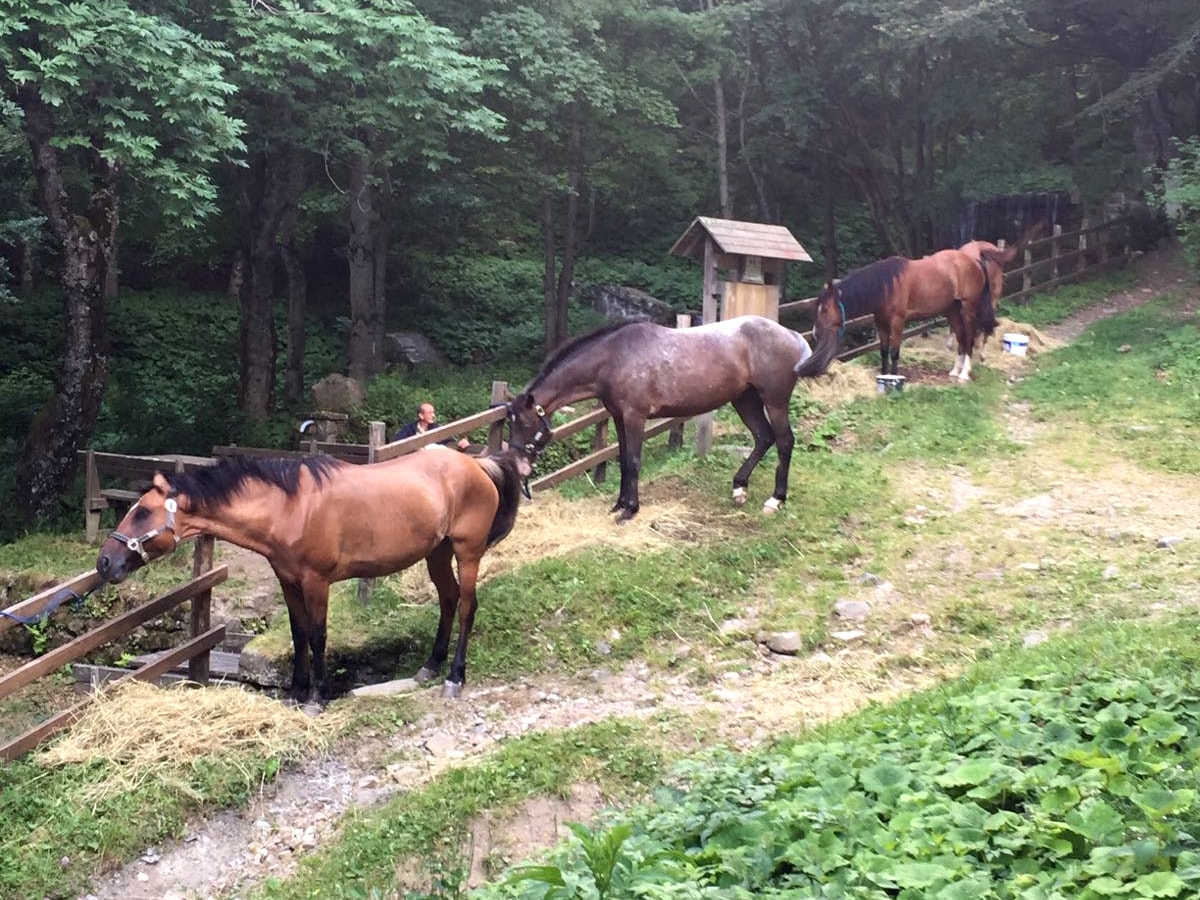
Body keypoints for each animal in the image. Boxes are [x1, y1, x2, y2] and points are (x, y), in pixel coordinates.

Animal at [93, 451, 525, 705]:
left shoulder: (317, 581)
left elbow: (318, 635)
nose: (104, 562)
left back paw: (455, 676)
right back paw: (430, 667)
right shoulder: (288, 580)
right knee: (448, 601)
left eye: (142, 513)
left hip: (467, 552)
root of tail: (475, 464)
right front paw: (296, 691)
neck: (289, 507)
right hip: (437, 552)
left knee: (467, 606)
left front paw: (317, 696)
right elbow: (299, 633)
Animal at [501, 314, 811, 520]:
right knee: (763, 437)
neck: (614, 357)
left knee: (784, 441)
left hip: (774, 401)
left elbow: (634, 461)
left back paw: (776, 499)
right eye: (509, 423)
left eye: (525, 423)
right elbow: (623, 460)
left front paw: (630, 510)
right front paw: (619, 504)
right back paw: (739, 488)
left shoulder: (635, 417)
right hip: (745, 400)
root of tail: (791, 335)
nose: (518, 464)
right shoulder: (618, 417)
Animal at [801, 250, 998, 384]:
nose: (816, 332)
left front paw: (894, 376)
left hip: (968, 309)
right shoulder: (880, 322)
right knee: (961, 338)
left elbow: (894, 351)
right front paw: (884, 374)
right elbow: (883, 351)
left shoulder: (898, 321)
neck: (886, 286)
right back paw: (955, 371)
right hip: (953, 311)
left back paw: (964, 373)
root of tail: (974, 261)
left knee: (970, 338)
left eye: (825, 309)